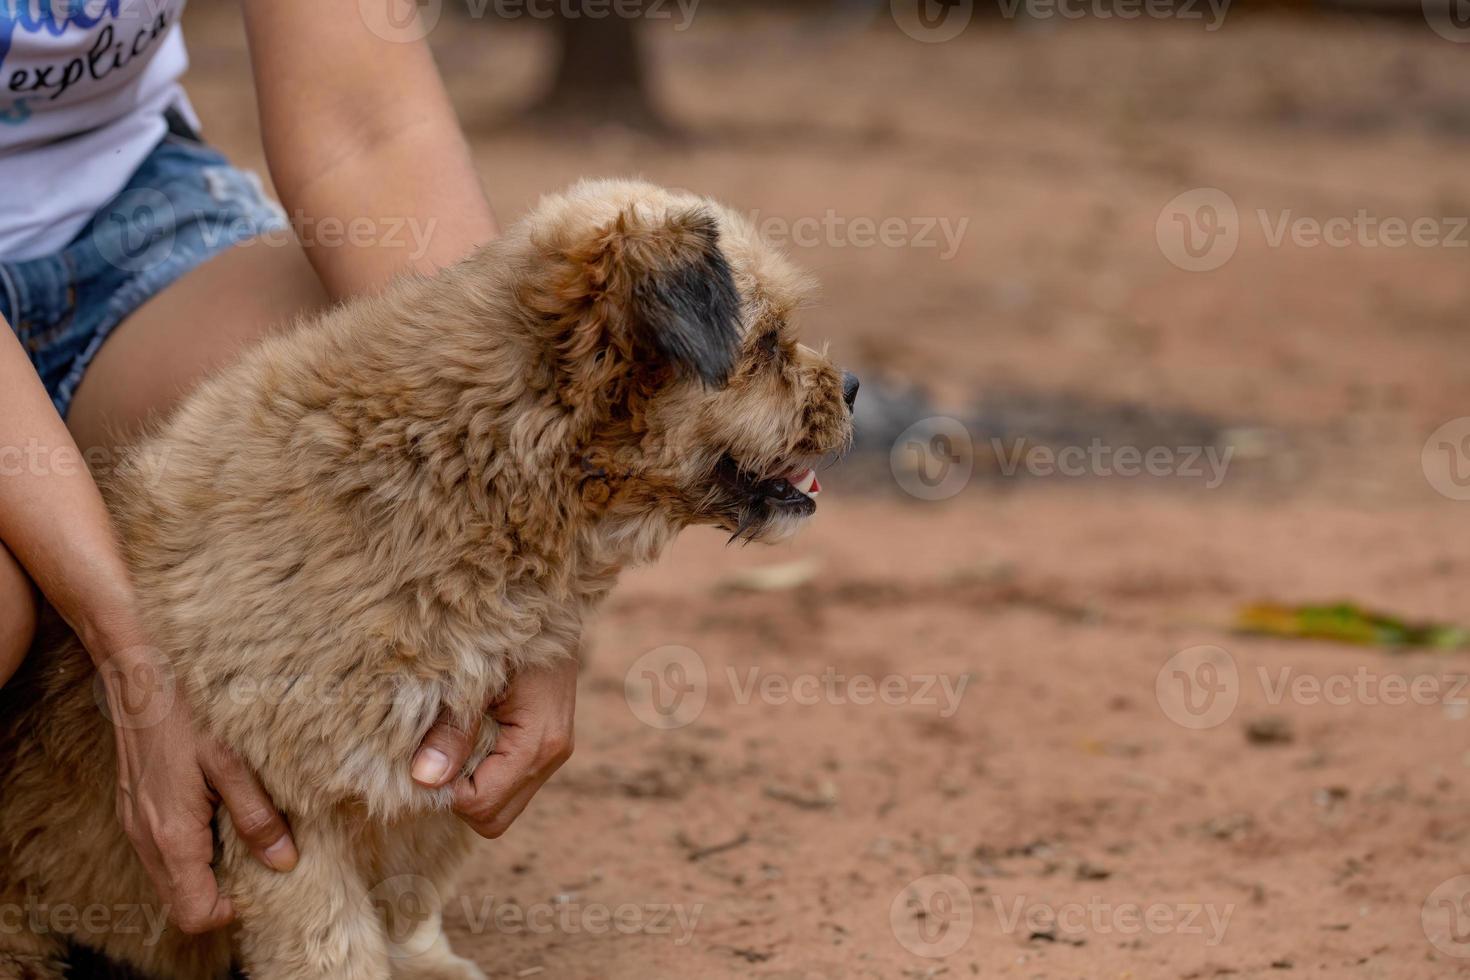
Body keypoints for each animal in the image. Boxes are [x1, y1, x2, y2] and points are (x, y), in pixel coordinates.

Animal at [0, 178, 852, 980]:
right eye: (769, 344)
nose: (850, 389)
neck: (472, 466)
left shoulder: (434, 776)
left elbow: (405, 900)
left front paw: (426, 962)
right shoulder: (288, 811)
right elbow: (333, 949)